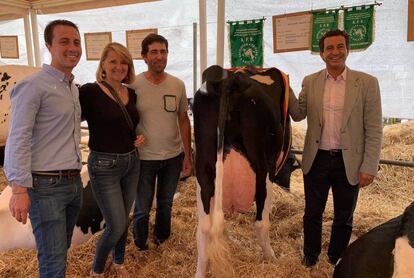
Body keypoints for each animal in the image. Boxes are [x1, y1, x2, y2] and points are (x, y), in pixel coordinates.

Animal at [194, 65, 292, 278]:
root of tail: (230, 80)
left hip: (204, 168)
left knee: (204, 227)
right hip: (263, 168)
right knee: (261, 222)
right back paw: (273, 259)